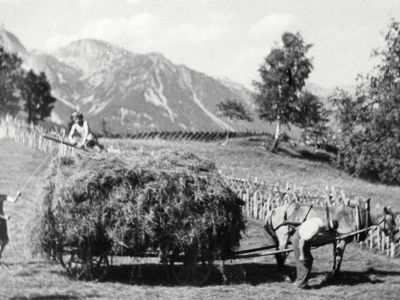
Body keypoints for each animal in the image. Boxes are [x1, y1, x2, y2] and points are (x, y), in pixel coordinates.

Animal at [264, 199, 398, 282]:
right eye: (391, 219)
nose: (396, 237)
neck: (353, 216)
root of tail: (273, 210)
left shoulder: (336, 240)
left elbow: (335, 256)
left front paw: (333, 273)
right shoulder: (342, 240)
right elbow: (339, 257)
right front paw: (335, 275)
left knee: (279, 253)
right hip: (283, 235)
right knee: (281, 254)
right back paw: (285, 275)